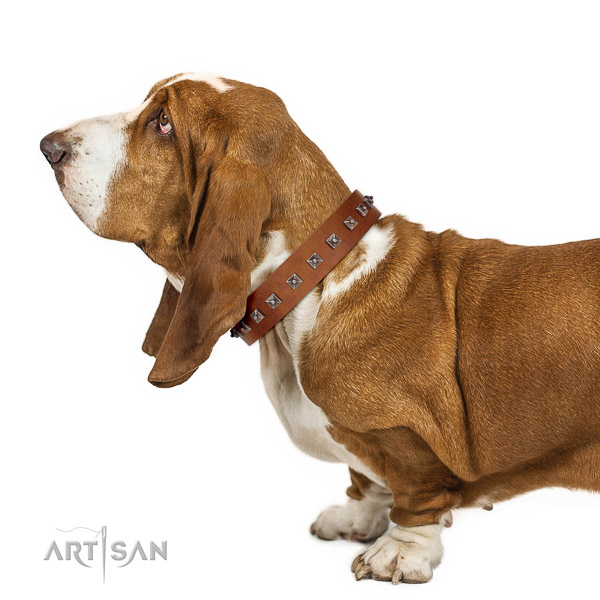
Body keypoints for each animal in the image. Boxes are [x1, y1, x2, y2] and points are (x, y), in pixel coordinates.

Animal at [41, 74, 600, 584]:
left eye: (163, 123)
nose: (49, 147)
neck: (310, 285)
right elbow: (366, 478)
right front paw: (359, 516)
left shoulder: (406, 438)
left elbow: (417, 495)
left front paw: (398, 553)